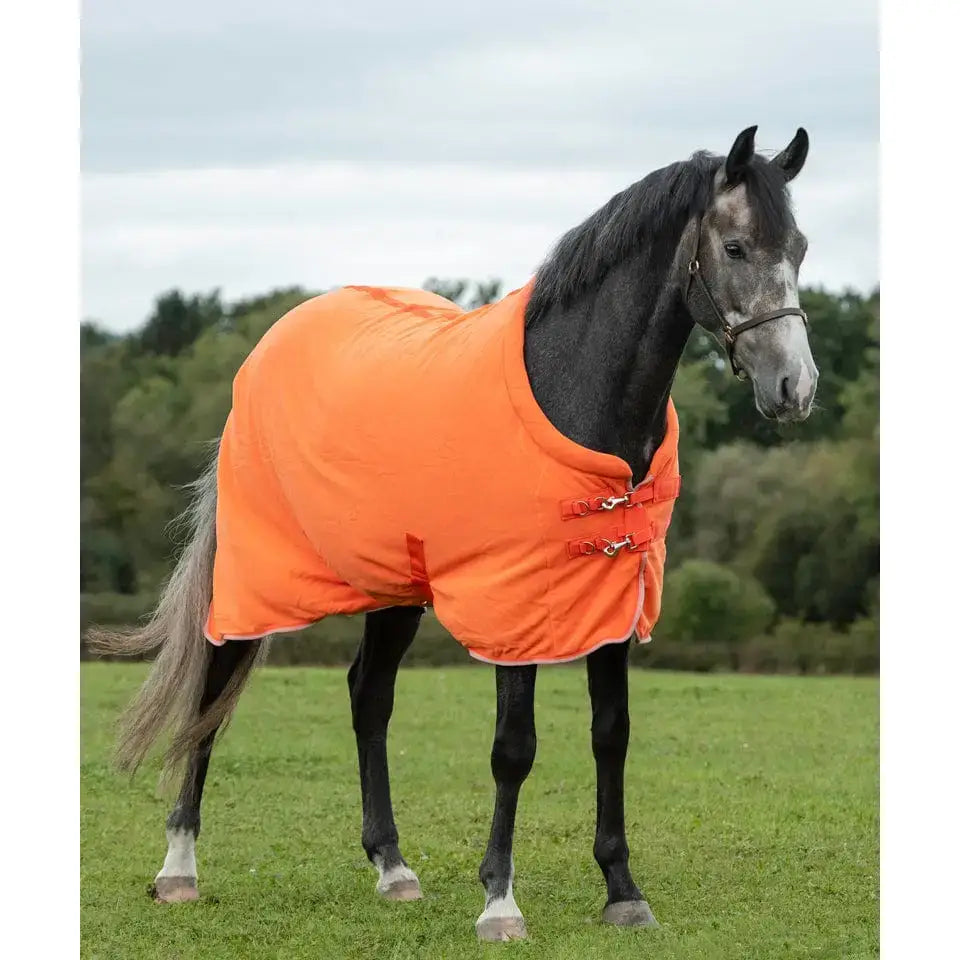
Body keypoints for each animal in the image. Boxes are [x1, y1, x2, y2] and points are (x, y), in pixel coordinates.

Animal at [90, 125, 818, 941]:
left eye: (798, 247)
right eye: (734, 246)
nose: (795, 388)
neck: (573, 390)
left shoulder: (612, 596)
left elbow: (611, 733)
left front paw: (623, 890)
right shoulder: (514, 604)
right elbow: (514, 747)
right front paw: (500, 901)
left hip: (394, 586)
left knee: (368, 696)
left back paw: (393, 867)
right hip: (254, 575)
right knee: (213, 690)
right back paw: (179, 867)